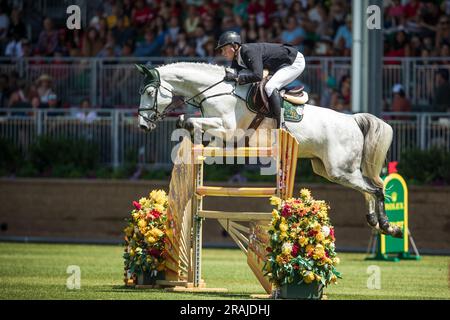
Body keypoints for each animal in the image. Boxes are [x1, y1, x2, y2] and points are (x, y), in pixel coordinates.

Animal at [135, 62, 402, 238]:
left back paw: (388, 226)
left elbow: (191, 121)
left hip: (340, 170)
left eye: (149, 92)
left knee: (376, 188)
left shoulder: (229, 128)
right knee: (367, 187)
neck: (214, 91)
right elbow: (190, 124)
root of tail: (352, 119)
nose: (143, 125)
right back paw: (374, 221)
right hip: (329, 170)